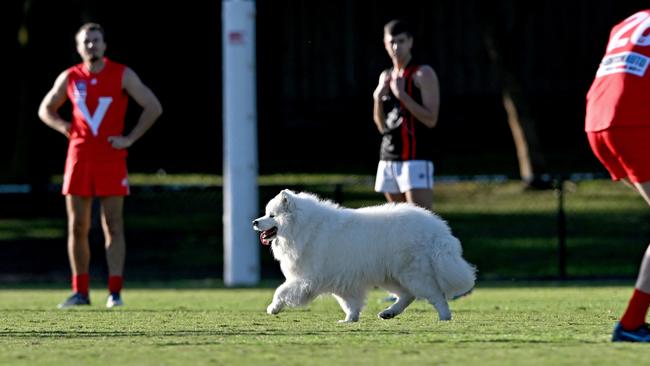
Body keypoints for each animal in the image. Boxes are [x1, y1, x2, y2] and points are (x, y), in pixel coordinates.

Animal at [251, 190, 474, 322]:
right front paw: (349, 320)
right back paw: (389, 312)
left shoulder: (306, 279)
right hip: (390, 276)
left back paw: (444, 317)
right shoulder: (341, 280)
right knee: (408, 295)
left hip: (413, 274)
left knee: (435, 295)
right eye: (266, 214)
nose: (254, 222)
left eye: (271, 215)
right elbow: (349, 303)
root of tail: (437, 229)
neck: (303, 228)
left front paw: (273, 308)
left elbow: (280, 291)